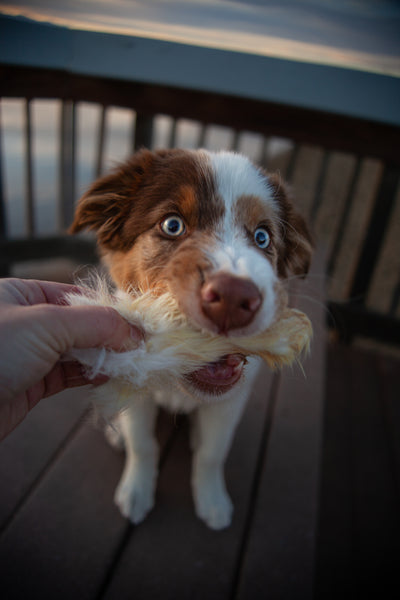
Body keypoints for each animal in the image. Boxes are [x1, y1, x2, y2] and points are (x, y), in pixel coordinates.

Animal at [71, 150, 312, 528]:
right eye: (172, 225)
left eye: (262, 238)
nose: (233, 298)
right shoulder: (138, 388)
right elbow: (142, 444)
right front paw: (136, 492)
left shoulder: (230, 401)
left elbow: (212, 453)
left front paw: (212, 500)